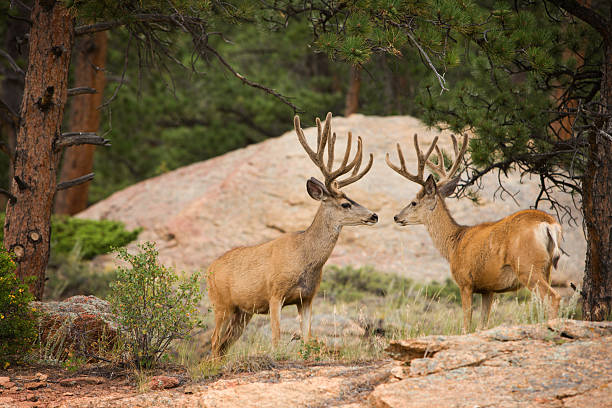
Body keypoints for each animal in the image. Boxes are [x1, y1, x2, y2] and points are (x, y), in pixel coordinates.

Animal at [207, 112, 378, 356]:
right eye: (345, 204)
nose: (374, 215)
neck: (304, 258)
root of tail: (209, 269)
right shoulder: (274, 293)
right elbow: (276, 338)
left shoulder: (307, 297)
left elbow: (307, 337)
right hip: (221, 303)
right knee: (214, 341)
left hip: (242, 312)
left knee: (223, 345)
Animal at [388, 135, 564, 334]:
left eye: (413, 202)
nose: (396, 217)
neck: (454, 243)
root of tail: (549, 224)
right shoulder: (488, 288)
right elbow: (482, 326)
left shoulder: (465, 281)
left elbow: (466, 326)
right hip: (546, 268)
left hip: (527, 265)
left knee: (553, 297)